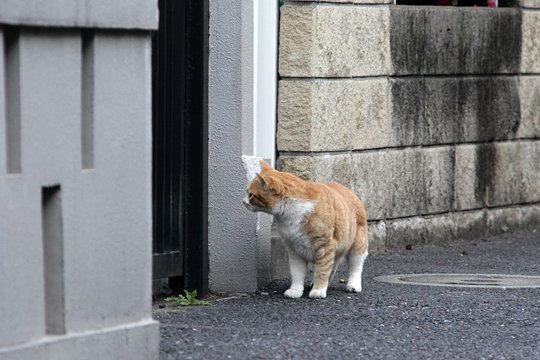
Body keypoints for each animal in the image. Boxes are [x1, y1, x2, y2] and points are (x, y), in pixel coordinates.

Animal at [244, 159, 368, 300]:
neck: (289, 213)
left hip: (357, 246)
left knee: (355, 268)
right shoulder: (294, 249)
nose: (243, 202)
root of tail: (349, 190)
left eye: (251, 194)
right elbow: (297, 273)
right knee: (333, 266)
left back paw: (353, 285)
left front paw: (318, 290)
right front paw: (295, 290)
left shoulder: (325, 247)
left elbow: (322, 271)